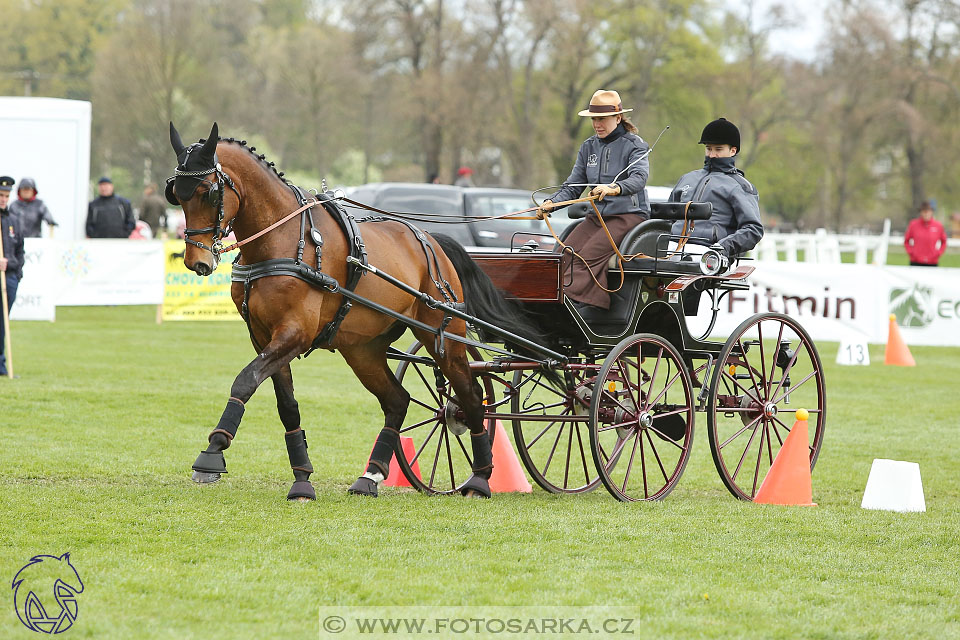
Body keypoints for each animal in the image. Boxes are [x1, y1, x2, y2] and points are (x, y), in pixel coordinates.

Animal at [165, 121, 540, 500]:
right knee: (398, 400)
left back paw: (479, 478)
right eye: (176, 194)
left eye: (208, 193)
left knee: (472, 396)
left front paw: (212, 453)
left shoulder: (295, 334)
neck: (282, 241)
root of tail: (432, 240)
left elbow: (244, 380)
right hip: (363, 349)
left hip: (443, 337)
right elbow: (286, 405)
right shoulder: (264, 337)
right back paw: (370, 476)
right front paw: (302, 479)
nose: (196, 262)